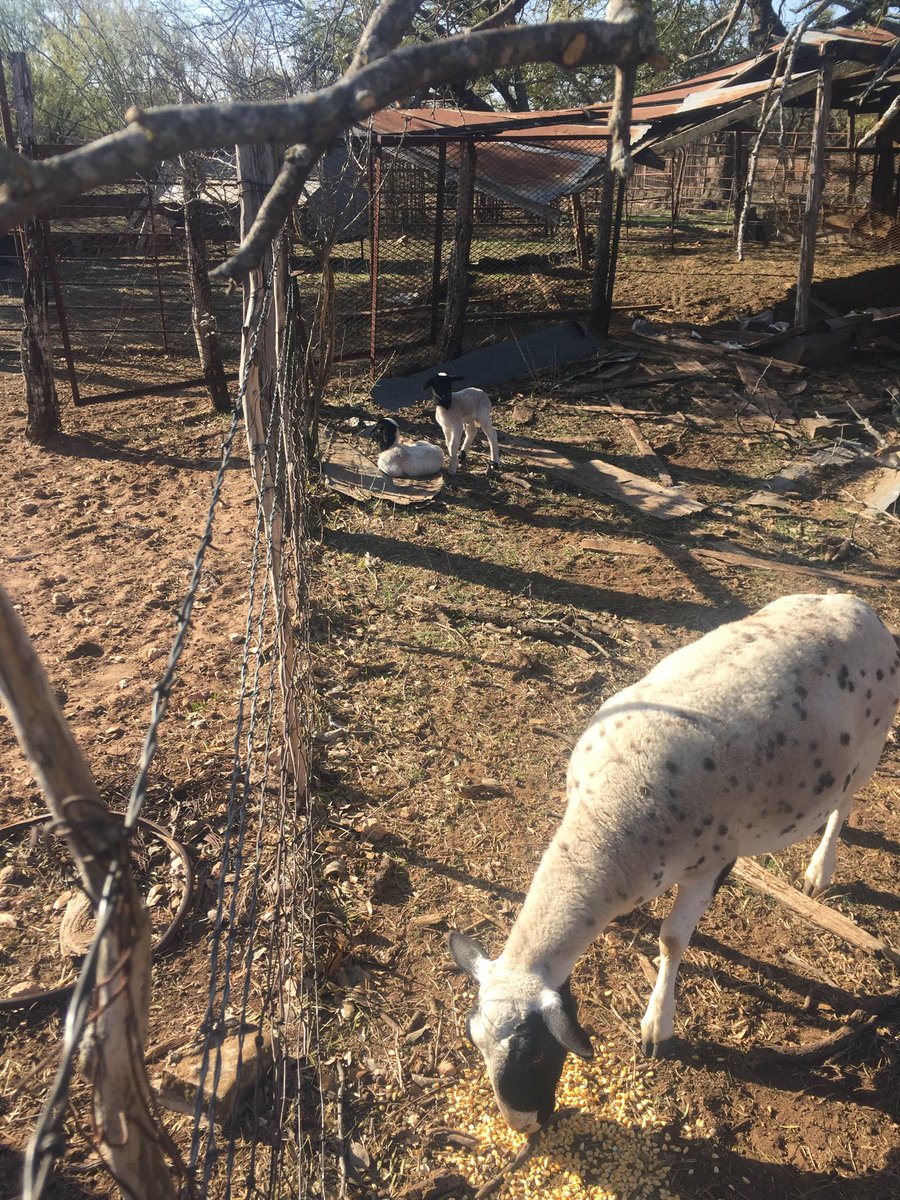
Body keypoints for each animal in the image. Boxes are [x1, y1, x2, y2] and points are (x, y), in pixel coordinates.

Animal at [449, 593, 900, 1135]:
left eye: (536, 1055)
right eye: (474, 1039)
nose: (523, 1126)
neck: (605, 822)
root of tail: (858, 605)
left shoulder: (713, 865)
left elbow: (671, 940)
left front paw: (657, 1025)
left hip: (872, 744)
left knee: (845, 803)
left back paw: (819, 870)